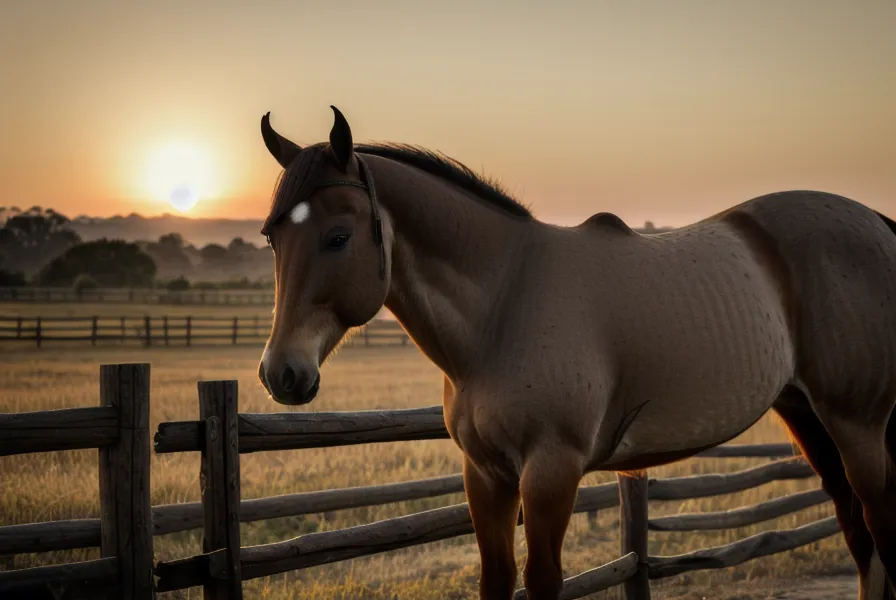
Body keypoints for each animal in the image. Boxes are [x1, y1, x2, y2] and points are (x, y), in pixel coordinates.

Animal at [256, 106, 896, 600]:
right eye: (272, 238)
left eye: (338, 237)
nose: (282, 374)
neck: (505, 301)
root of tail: (875, 222)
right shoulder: (484, 476)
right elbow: (496, 580)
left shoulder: (550, 472)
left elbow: (544, 581)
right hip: (808, 416)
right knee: (860, 537)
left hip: (858, 426)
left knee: (879, 527)